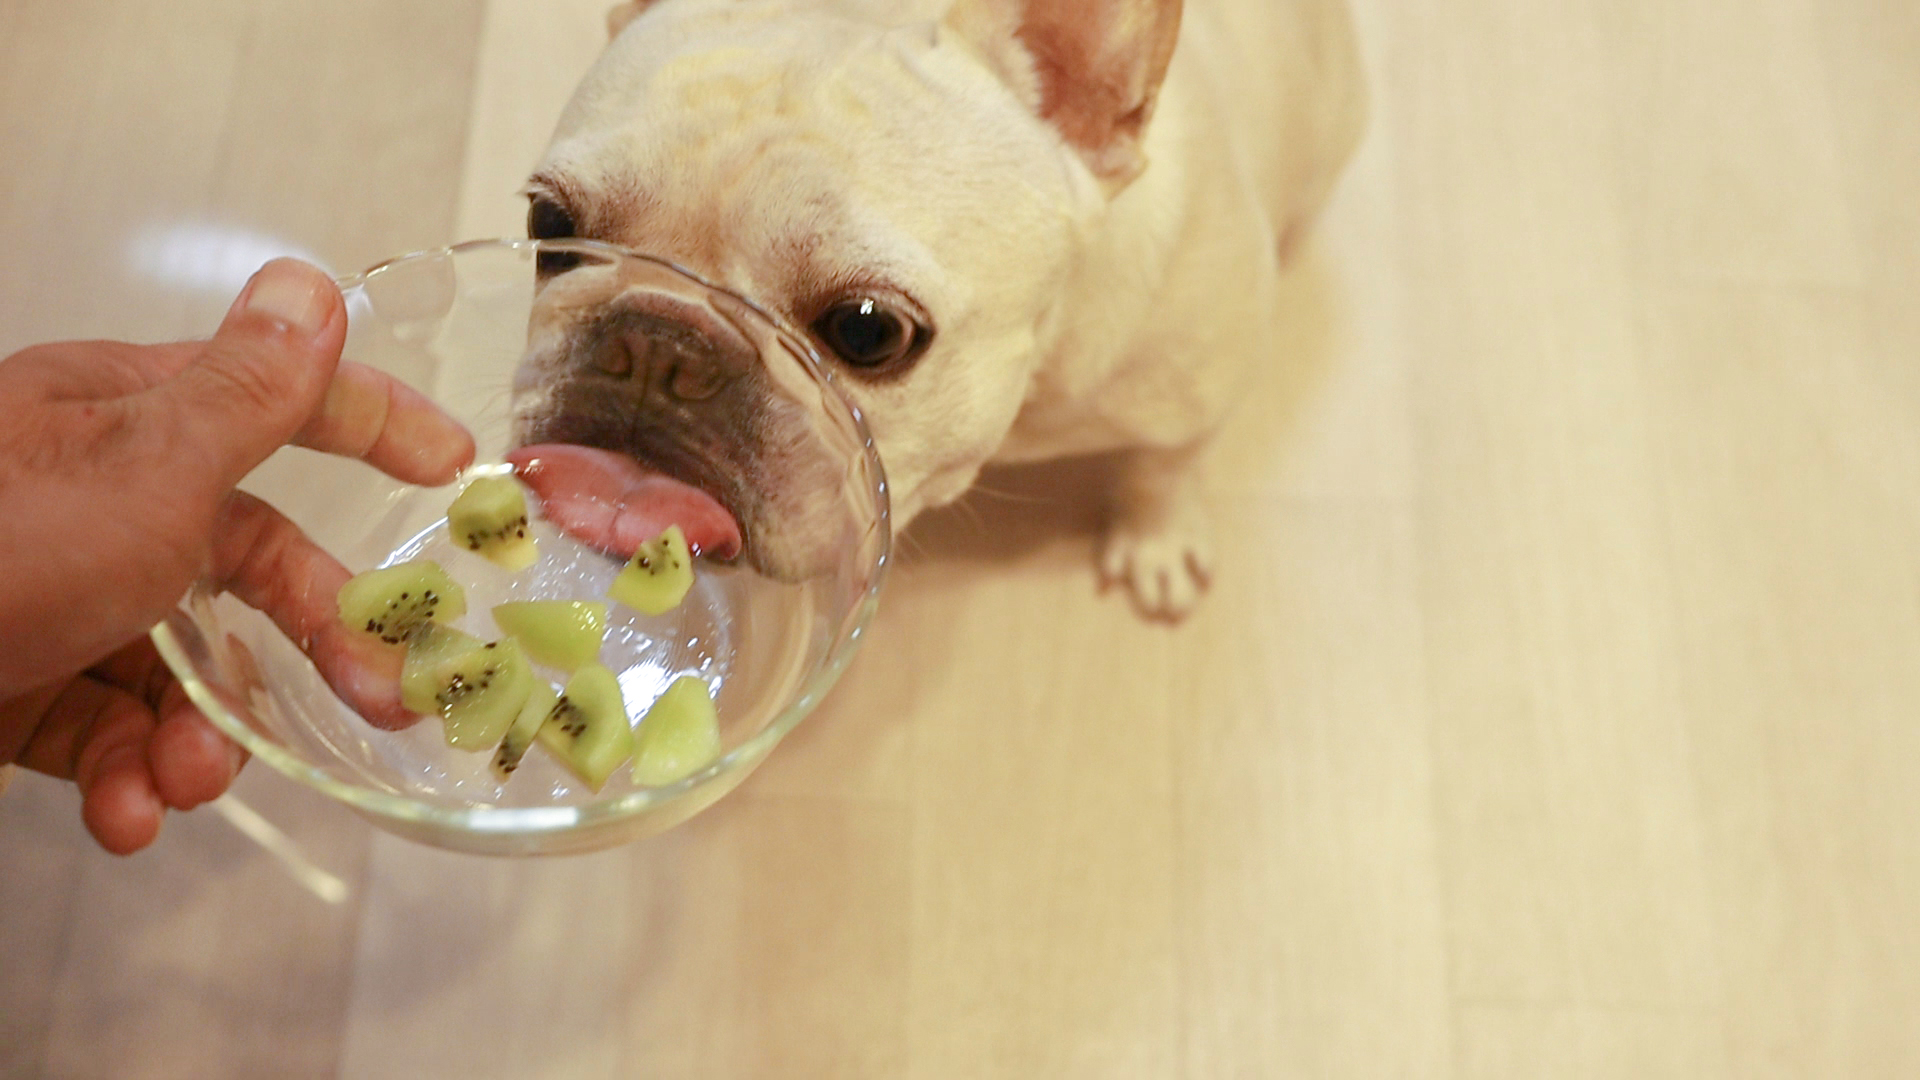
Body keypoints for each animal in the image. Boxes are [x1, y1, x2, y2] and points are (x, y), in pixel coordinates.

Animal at [510, 0, 1367, 614]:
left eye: (869, 331)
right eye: (548, 226)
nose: (658, 345)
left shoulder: (1205, 380)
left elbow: (1166, 463)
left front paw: (1155, 540)